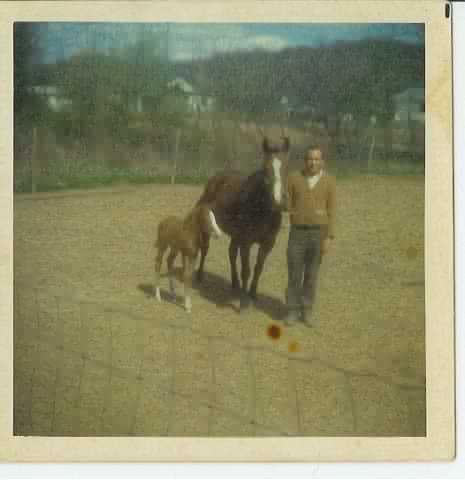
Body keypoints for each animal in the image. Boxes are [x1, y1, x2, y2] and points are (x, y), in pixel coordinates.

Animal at [196, 136, 290, 310]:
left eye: (286, 167)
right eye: (265, 168)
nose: (278, 201)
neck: (262, 211)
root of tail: (216, 179)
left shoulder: (268, 243)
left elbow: (258, 268)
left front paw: (252, 294)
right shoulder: (247, 242)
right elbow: (246, 269)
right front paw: (244, 302)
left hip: (235, 235)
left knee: (232, 253)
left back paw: (235, 284)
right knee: (205, 249)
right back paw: (199, 276)